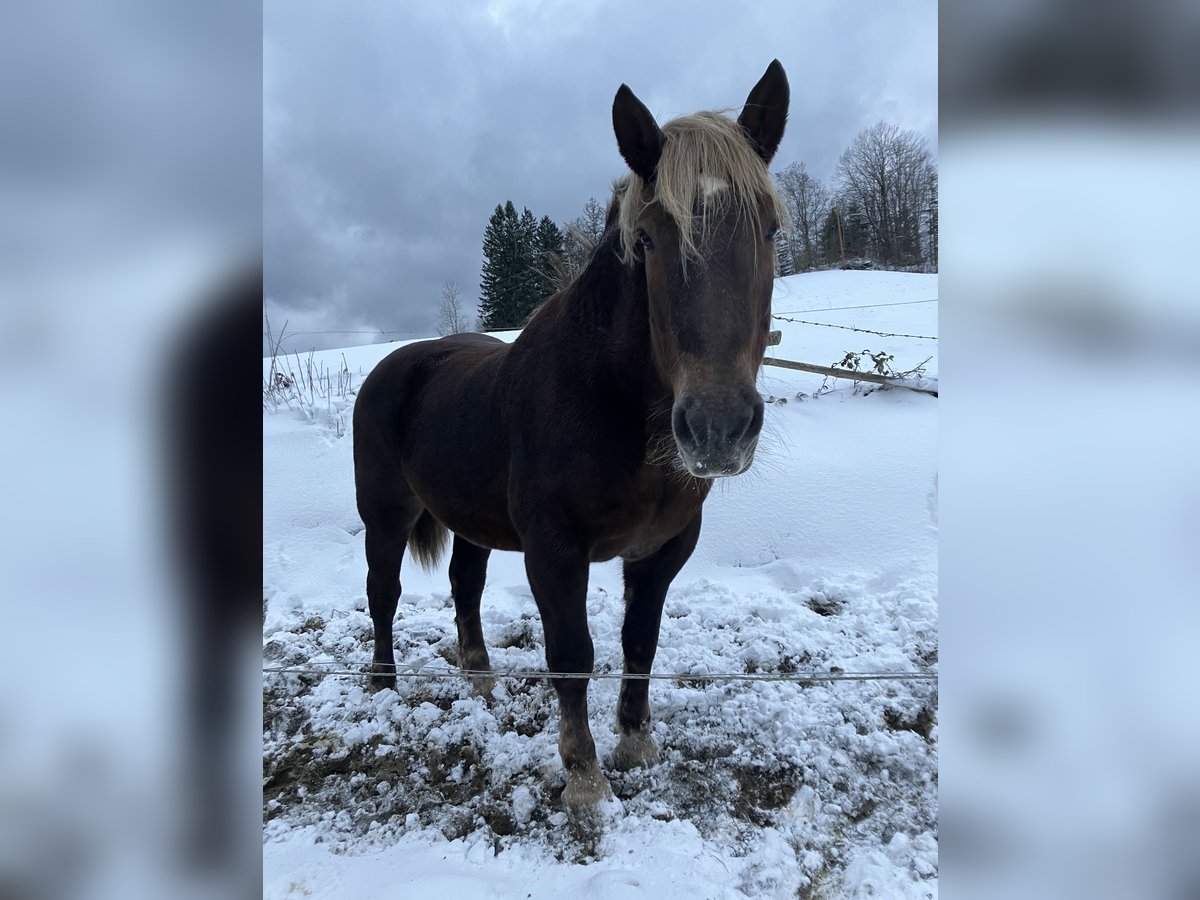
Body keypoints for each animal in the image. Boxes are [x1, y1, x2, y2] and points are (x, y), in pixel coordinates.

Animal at [352, 63, 787, 811]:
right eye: (647, 240)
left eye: (769, 229)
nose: (717, 426)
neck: (614, 407)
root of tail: (396, 365)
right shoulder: (554, 550)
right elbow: (573, 656)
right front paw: (585, 778)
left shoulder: (665, 548)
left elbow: (640, 640)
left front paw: (636, 744)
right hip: (386, 512)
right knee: (384, 591)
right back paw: (384, 683)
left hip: (470, 515)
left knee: (465, 585)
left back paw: (479, 676)